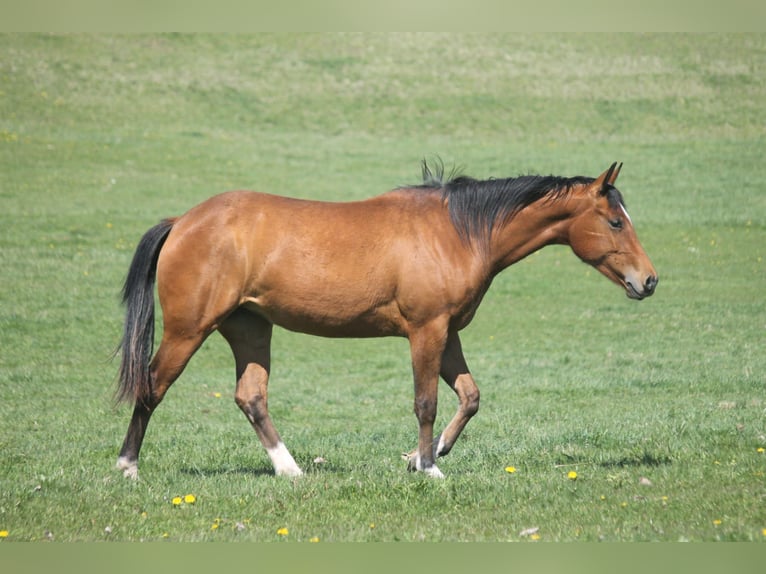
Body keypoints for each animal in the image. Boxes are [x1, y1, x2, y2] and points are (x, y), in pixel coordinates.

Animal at [114, 161, 657, 479]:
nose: (649, 281)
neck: (457, 232)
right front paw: (429, 469)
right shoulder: (426, 330)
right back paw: (128, 467)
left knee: (250, 397)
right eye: (615, 221)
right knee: (152, 386)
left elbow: (470, 397)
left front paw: (424, 456)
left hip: (249, 327)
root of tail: (183, 222)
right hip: (190, 330)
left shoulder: (448, 333)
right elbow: (426, 403)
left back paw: (291, 471)